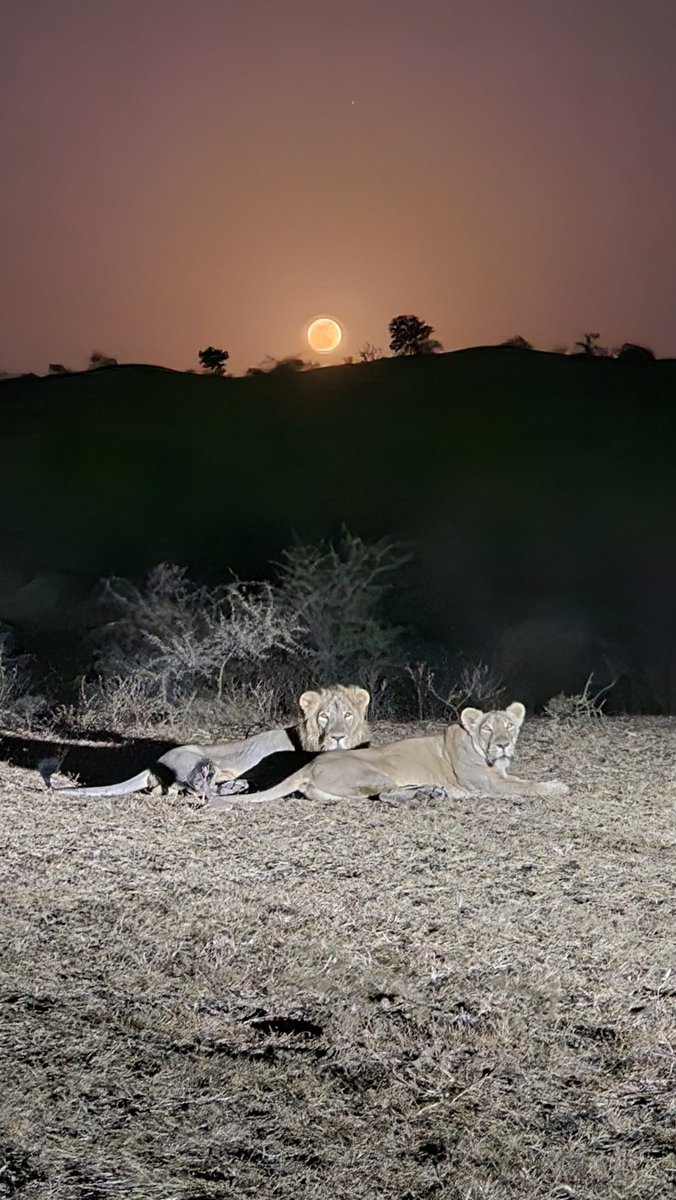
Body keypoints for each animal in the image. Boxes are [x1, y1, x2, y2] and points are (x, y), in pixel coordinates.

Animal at [42, 685, 371, 802]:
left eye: (347, 715)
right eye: (324, 717)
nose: (338, 737)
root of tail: (155, 762)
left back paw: (235, 785)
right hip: (199, 760)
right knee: (186, 787)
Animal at [204, 701, 568, 811]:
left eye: (510, 726)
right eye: (488, 730)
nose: (504, 744)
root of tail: (311, 763)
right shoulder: (488, 783)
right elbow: (527, 786)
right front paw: (556, 787)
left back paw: (431, 791)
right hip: (374, 774)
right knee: (386, 796)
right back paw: (425, 795)